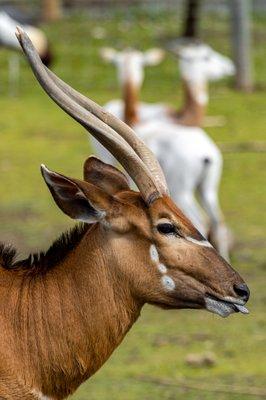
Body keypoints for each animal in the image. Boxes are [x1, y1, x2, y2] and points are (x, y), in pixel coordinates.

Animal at [93, 43, 235, 260]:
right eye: (206, 56)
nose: (230, 67)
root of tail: (206, 153)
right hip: (206, 189)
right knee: (217, 221)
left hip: (183, 191)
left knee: (200, 222)